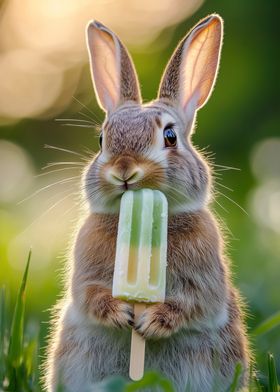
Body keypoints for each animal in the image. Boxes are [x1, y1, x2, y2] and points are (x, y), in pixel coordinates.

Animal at [44, 13, 250, 390]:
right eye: (101, 140)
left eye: (170, 136)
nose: (124, 170)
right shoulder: (84, 274)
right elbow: (88, 293)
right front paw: (121, 311)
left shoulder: (206, 281)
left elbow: (196, 302)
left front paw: (151, 321)